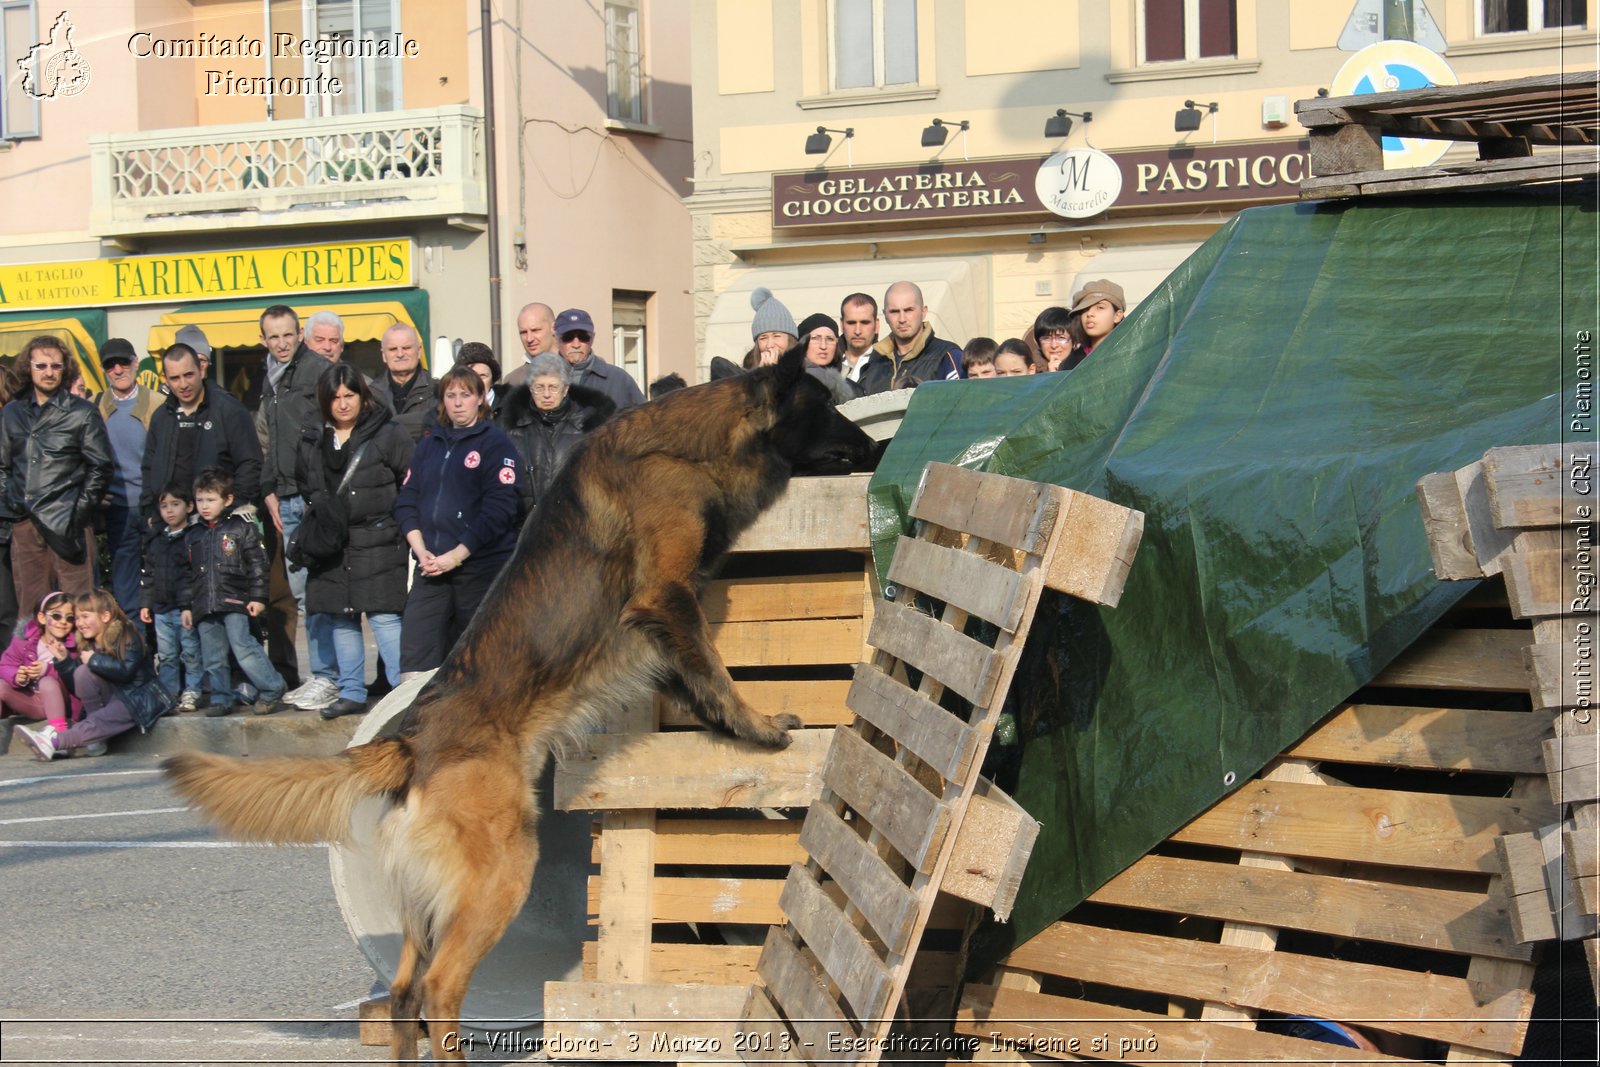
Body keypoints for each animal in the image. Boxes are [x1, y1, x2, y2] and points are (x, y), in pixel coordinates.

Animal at [162, 347, 876, 1062]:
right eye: (823, 404)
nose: (874, 445)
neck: (688, 445)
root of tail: (410, 740)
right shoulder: (667, 596)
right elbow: (717, 671)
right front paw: (761, 727)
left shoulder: (658, 628)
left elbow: (696, 681)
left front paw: (731, 729)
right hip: (499, 877)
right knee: (439, 989)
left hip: (427, 904)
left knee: (402, 994)